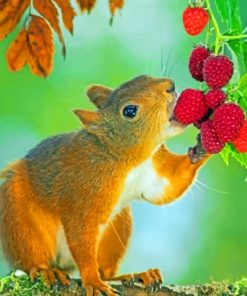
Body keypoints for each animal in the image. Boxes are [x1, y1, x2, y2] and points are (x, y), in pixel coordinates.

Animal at [0, 76, 208, 296]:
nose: (170, 86)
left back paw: (136, 275)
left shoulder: (151, 172)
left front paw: (204, 145)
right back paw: (46, 271)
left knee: (106, 271)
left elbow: (168, 188)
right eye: (129, 111)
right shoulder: (82, 191)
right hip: (18, 218)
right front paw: (93, 281)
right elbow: (80, 231)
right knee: (31, 256)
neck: (126, 160)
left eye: (142, 77)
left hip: (117, 227)